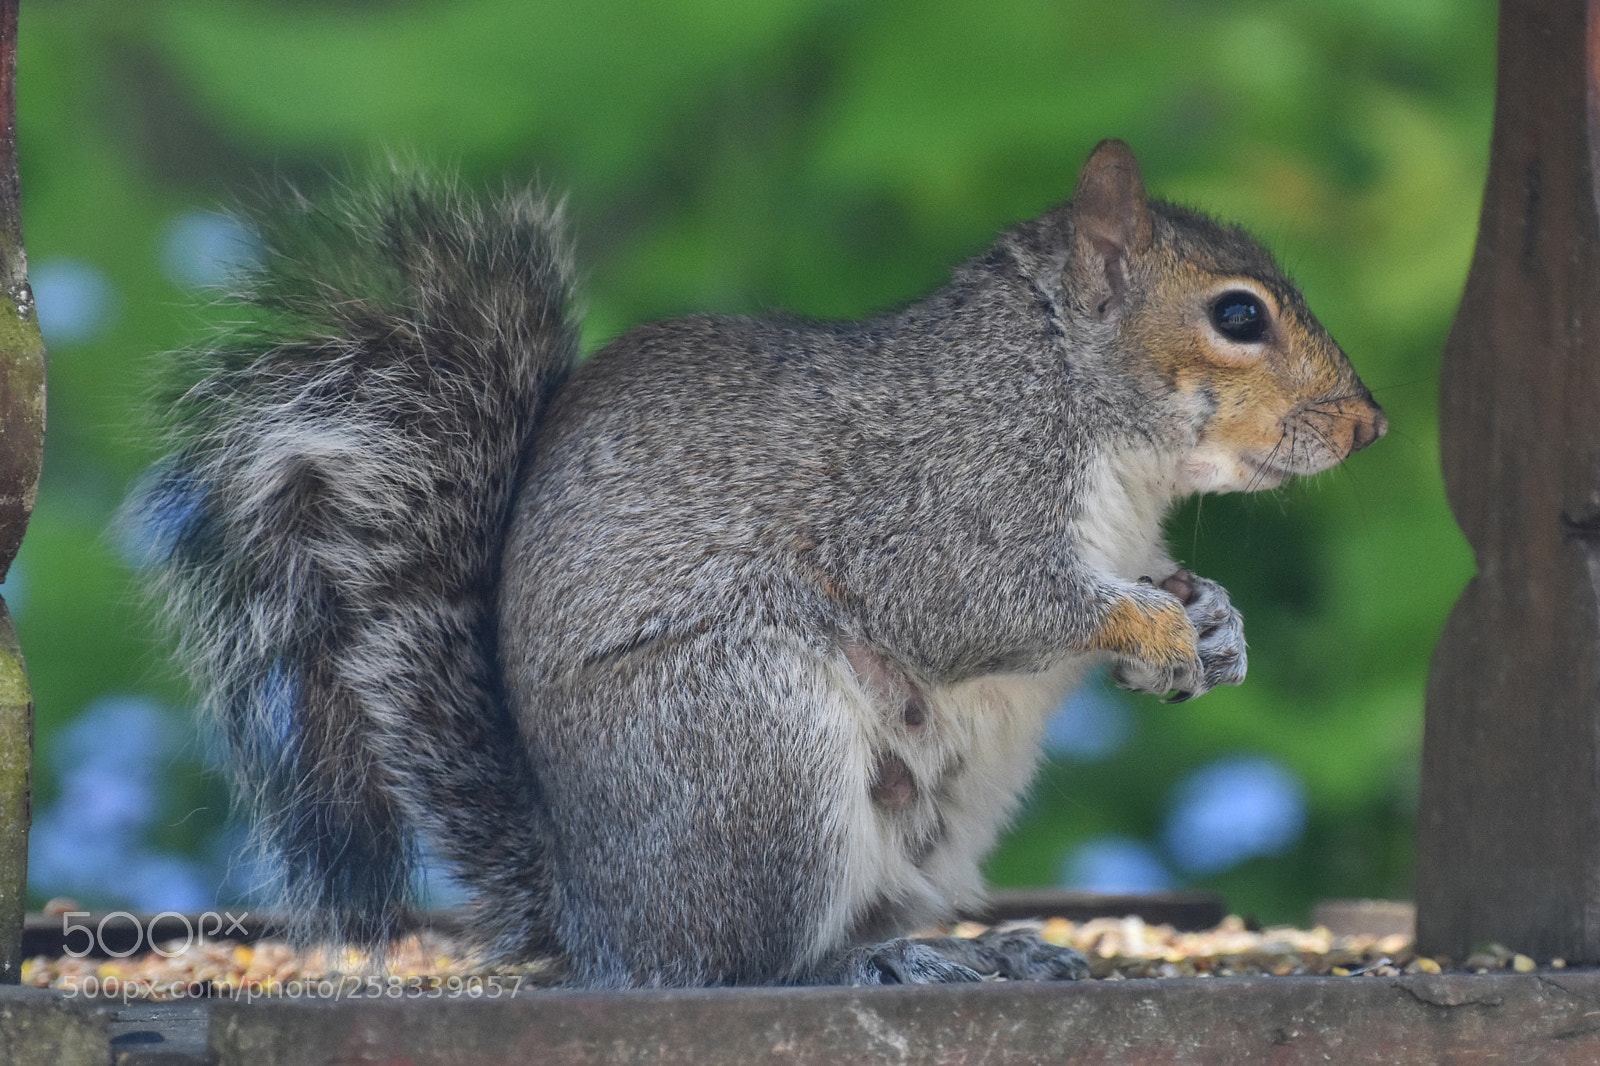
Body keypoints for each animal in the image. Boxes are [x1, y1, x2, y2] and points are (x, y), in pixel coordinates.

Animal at [131, 140, 1385, 988]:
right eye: (1237, 316)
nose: (1368, 426)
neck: (1091, 414)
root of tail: (597, 919)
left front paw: (1211, 623)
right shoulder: (939, 499)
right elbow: (977, 605)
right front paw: (1154, 626)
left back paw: (986, 952)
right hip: (751, 743)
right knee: (742, 965)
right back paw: (864, 969)